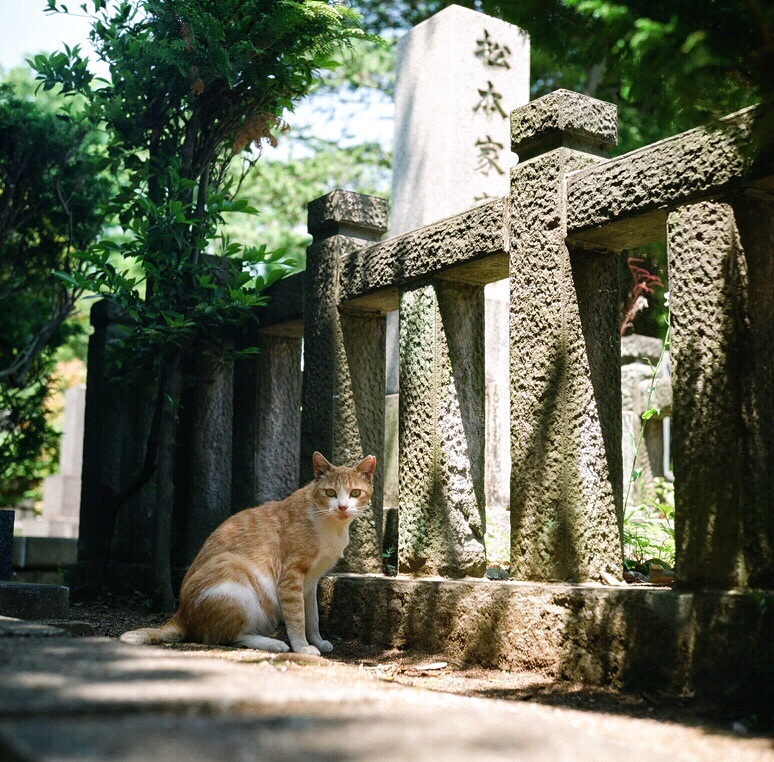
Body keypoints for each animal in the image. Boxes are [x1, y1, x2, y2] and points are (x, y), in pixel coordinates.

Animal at [119, 452, 378, 652]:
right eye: (330, 493)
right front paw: (303, 648)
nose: (342, 507)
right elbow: (297, 617)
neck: (330, 525)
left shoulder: (311, 581)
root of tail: (181, 612)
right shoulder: (291, 577)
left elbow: (312, 616)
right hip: (235, 577)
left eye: (355, 493)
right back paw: (273, 644)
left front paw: (317, 641)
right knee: (228, 637)